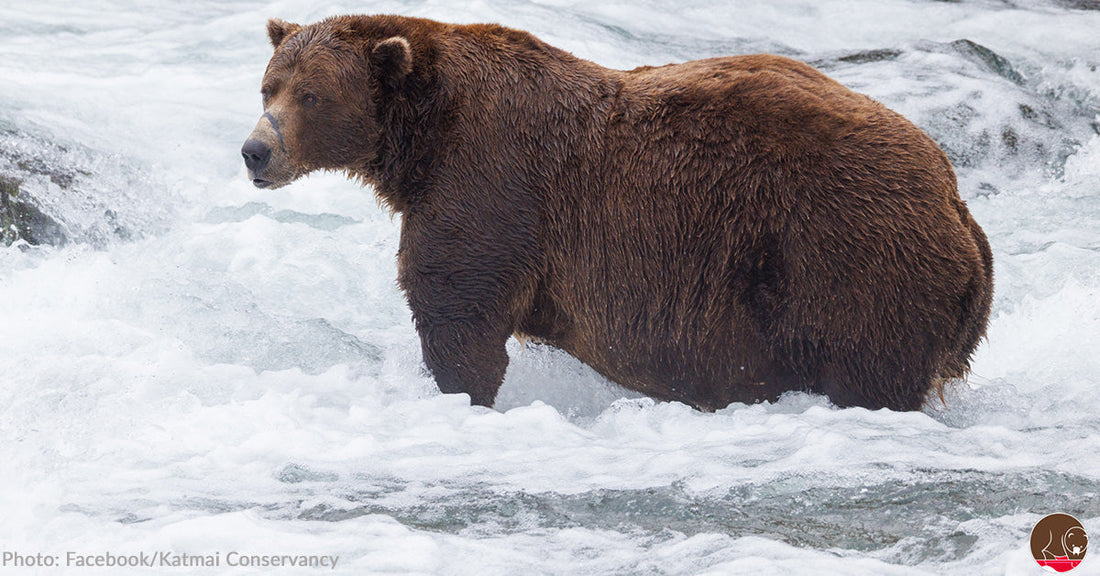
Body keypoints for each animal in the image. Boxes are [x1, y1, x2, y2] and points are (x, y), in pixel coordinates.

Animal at [241, 15, 993, 412]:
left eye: (311, 95)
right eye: (268, 85)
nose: (255, 150)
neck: (418, 138)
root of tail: (959, 211)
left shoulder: (490, 181)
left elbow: (458, 304)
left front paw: (464, 392)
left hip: (846, 261)